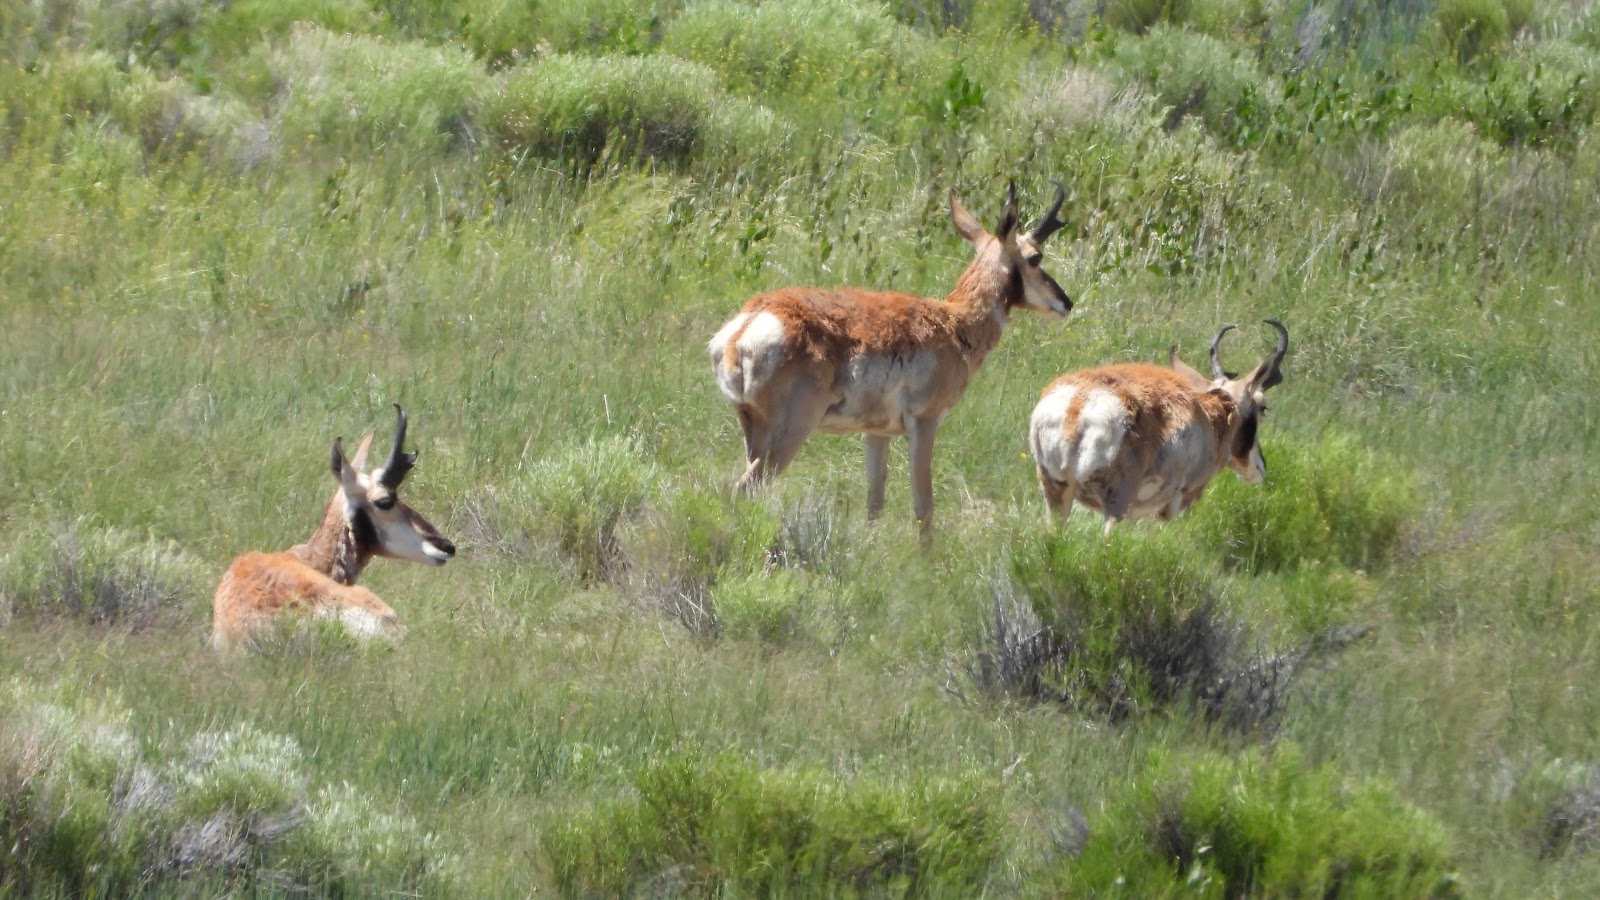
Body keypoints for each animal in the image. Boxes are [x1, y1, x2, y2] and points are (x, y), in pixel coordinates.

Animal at [708, 181, 1073, 535]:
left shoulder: (877, 432)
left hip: (754, 431)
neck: (954, 322)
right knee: (745, 488)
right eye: (1035, 257)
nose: (1066, 302)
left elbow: (875, 503)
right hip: (793, 430)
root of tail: (749, 323)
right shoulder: (924, 423)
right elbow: (924, 508)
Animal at [1028, 320, 1289, 534]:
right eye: (1263, 407)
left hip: (1056, 494)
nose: (1260, 467)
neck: (1207, 414)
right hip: (1115, 507)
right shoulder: (1173, 506)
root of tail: (1079, 402)